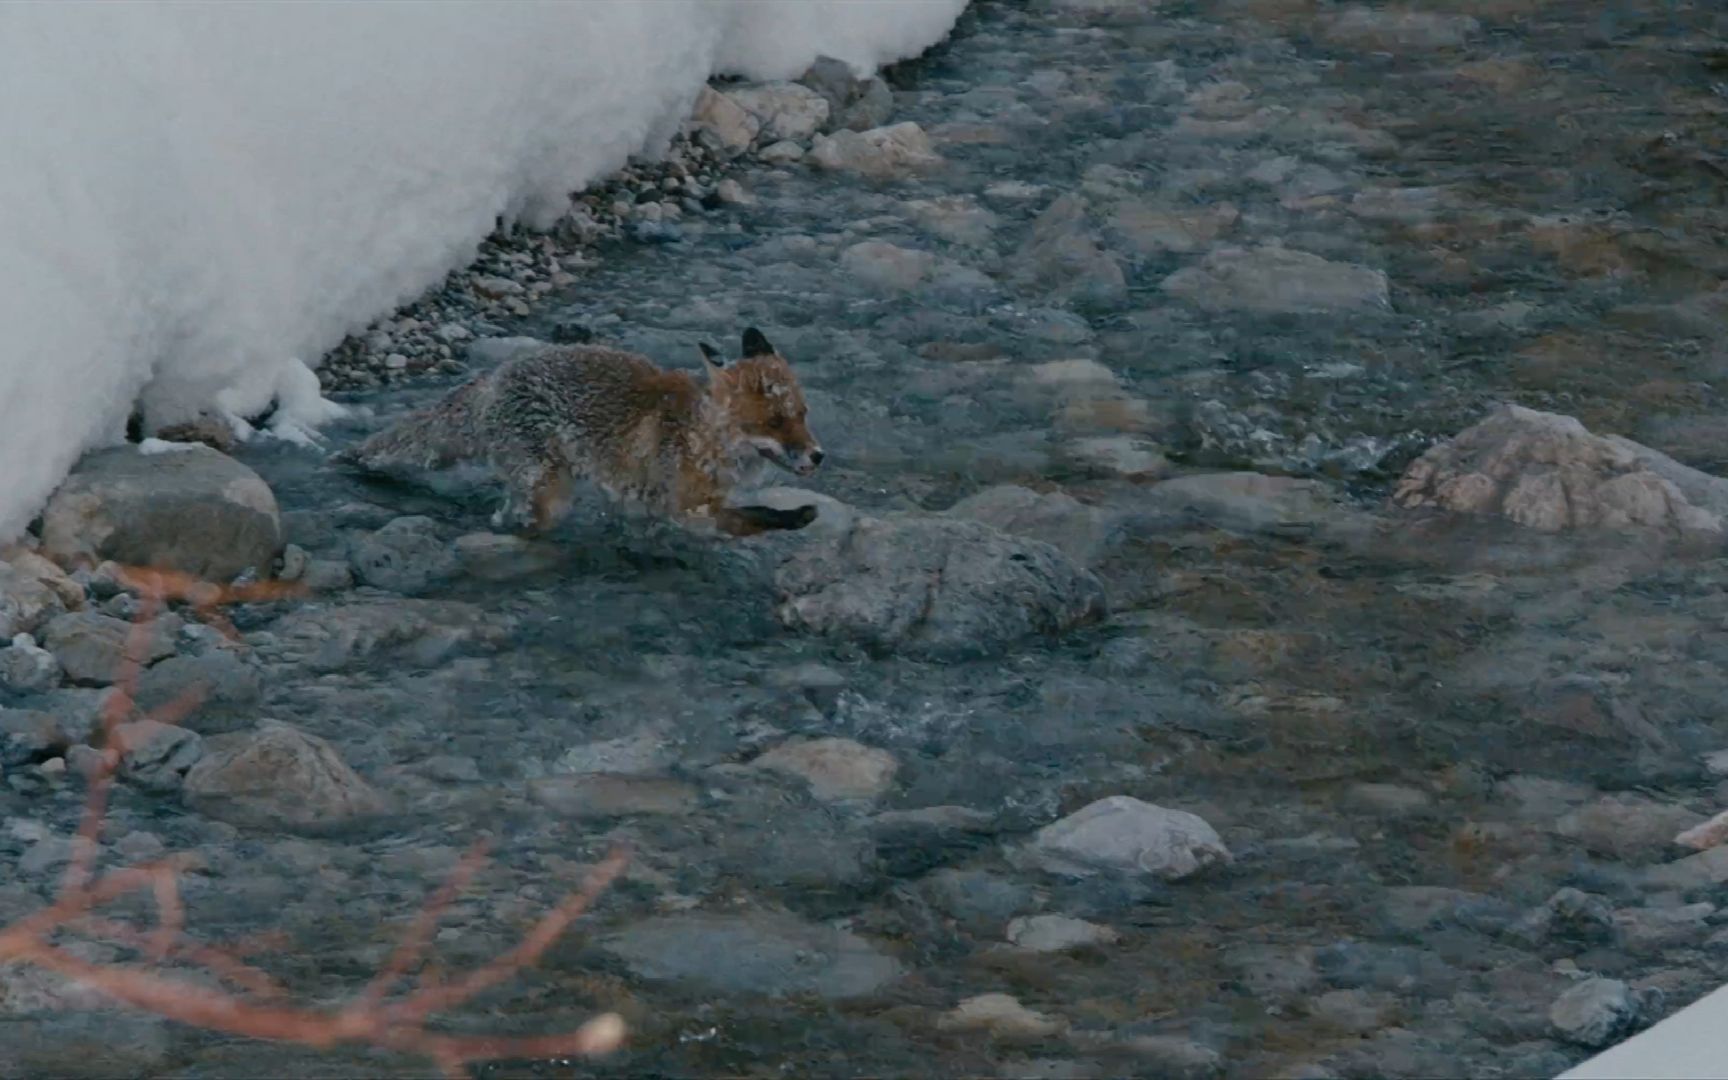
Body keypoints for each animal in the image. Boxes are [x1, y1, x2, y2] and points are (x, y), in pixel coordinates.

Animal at [340, 324, 825, 535]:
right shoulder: (688, 509)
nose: (818, 457)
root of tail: (495, 378)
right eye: (775, 423)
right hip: (549, 489)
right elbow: (753, 518)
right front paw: (794, 517)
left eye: (803, 414)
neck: (700, 437)